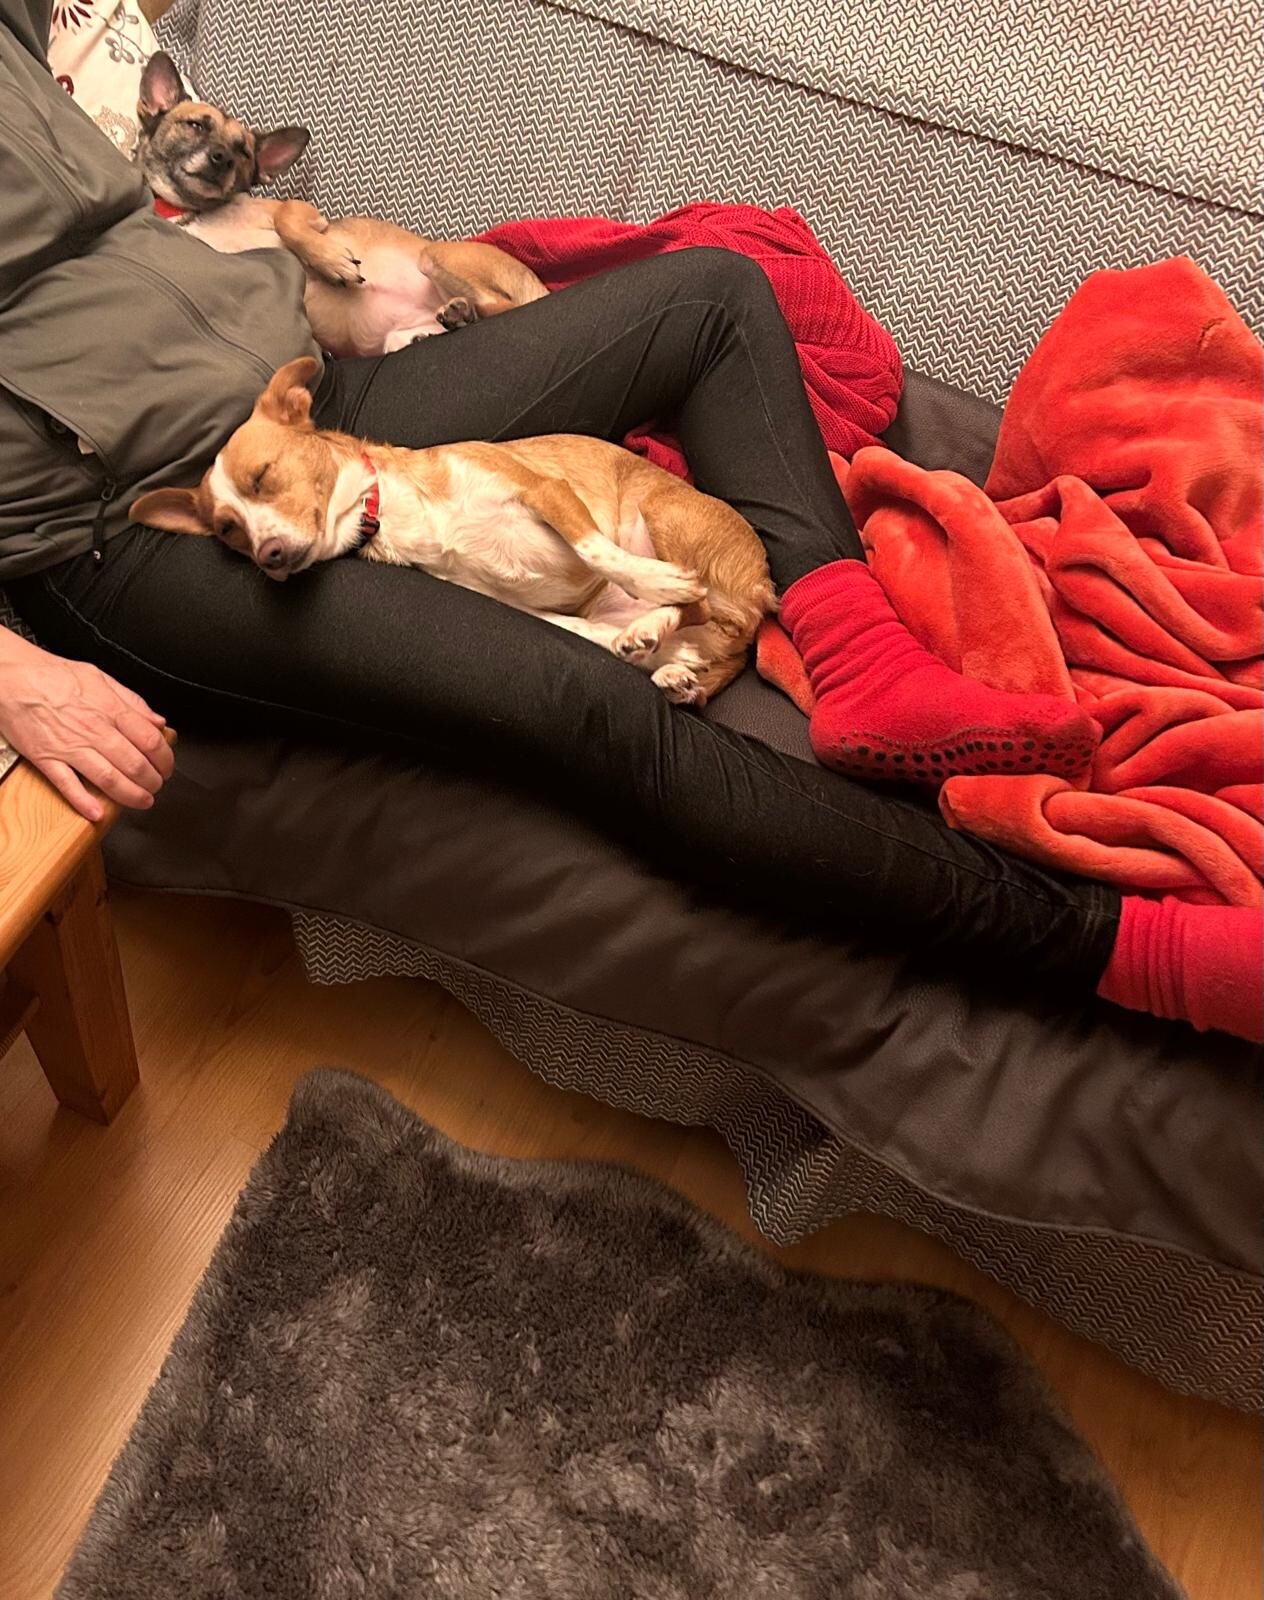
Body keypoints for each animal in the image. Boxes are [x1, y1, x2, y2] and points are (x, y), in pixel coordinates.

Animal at [131, 359, 776, 705]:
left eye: (263, 476)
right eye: (228, 532)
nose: (266, 556)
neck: (392, 515)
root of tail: (763, 590)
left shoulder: (548, 493)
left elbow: (597, 548)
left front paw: (654, 581)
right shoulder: (514, 604)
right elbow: (576, 623)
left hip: (662, 516)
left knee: (703, 604)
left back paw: (663, 607)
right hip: (622, 615)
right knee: (671, 635)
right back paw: (662, 653)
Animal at [134, 51, 549, 358]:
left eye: (244, 152)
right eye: (195, 126)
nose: (221, 158)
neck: (198, 212)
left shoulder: (301, 212)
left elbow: (289, 221)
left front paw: (333, 262)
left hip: (437, 257)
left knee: (506, 307)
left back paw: (467, 312)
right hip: (398, 336)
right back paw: (453, 321)